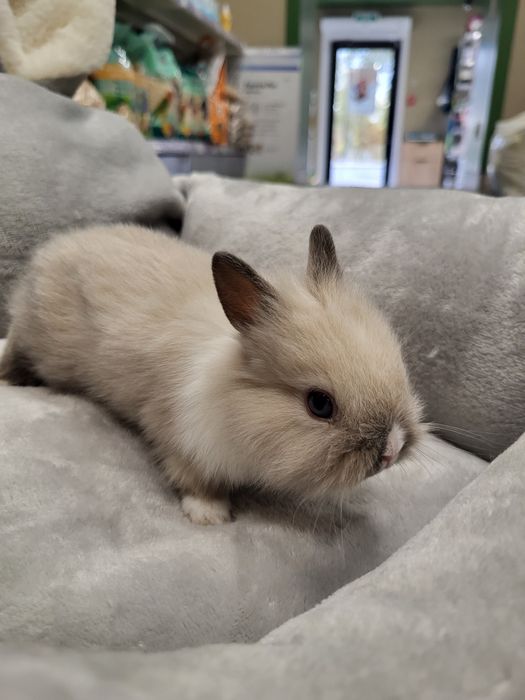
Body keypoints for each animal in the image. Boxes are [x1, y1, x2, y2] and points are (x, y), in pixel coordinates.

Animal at [0, 223, 423, 525]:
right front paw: (210, 515)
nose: (392, 450)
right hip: (37, 340)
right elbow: (193, 478)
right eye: (320, 405)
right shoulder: (179, 437)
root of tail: (52, 249)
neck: (231, 390)